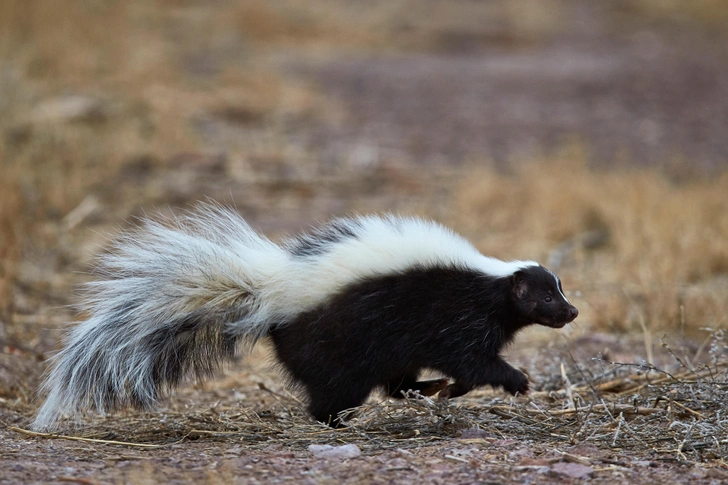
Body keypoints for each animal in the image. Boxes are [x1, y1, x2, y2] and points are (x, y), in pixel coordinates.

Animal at [32, 202, 580, 430]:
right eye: (546, 299)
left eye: (559, 292)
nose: (573, 310)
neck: (491, 281)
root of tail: (273, 290)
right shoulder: (457, 315)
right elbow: (471, 359)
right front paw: (516, 380)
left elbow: (466, 365)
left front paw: (452, 389)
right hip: (338, 341)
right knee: (336, 390)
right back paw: (338, 424)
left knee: (393, 381)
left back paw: (422, 390)